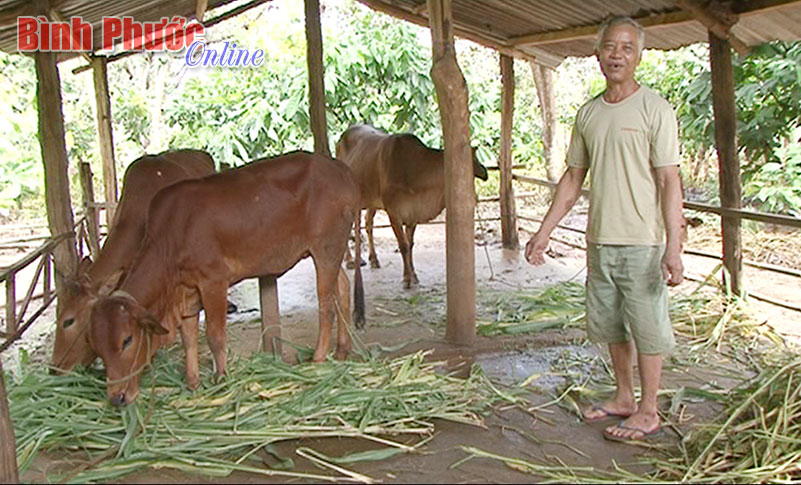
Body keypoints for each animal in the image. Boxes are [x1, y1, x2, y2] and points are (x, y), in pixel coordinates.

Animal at [88, 150, 362, 404]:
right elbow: (189, 339)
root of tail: (341, 171)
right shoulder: (187, 292)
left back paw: (318, 358)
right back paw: (342, 350)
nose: (117, 398)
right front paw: (192, 384)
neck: (171, 237)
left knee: (326, 305)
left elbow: (215, 335)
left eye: (127, 340)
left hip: (326, 246)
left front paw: (221, 379)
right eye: (97, 348)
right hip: (331, 250)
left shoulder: (213, 282)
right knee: (342, 288)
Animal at [332, 125, 488, 290]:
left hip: (370, 201)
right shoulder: (394, 213)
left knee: (367, 224)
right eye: (473, 160)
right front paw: (406, 278)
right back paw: (350, 260)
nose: (485, 172)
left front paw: (414, 275)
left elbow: (411, 244)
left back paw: (372, 259)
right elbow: (403, 245)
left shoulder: (413, 213)